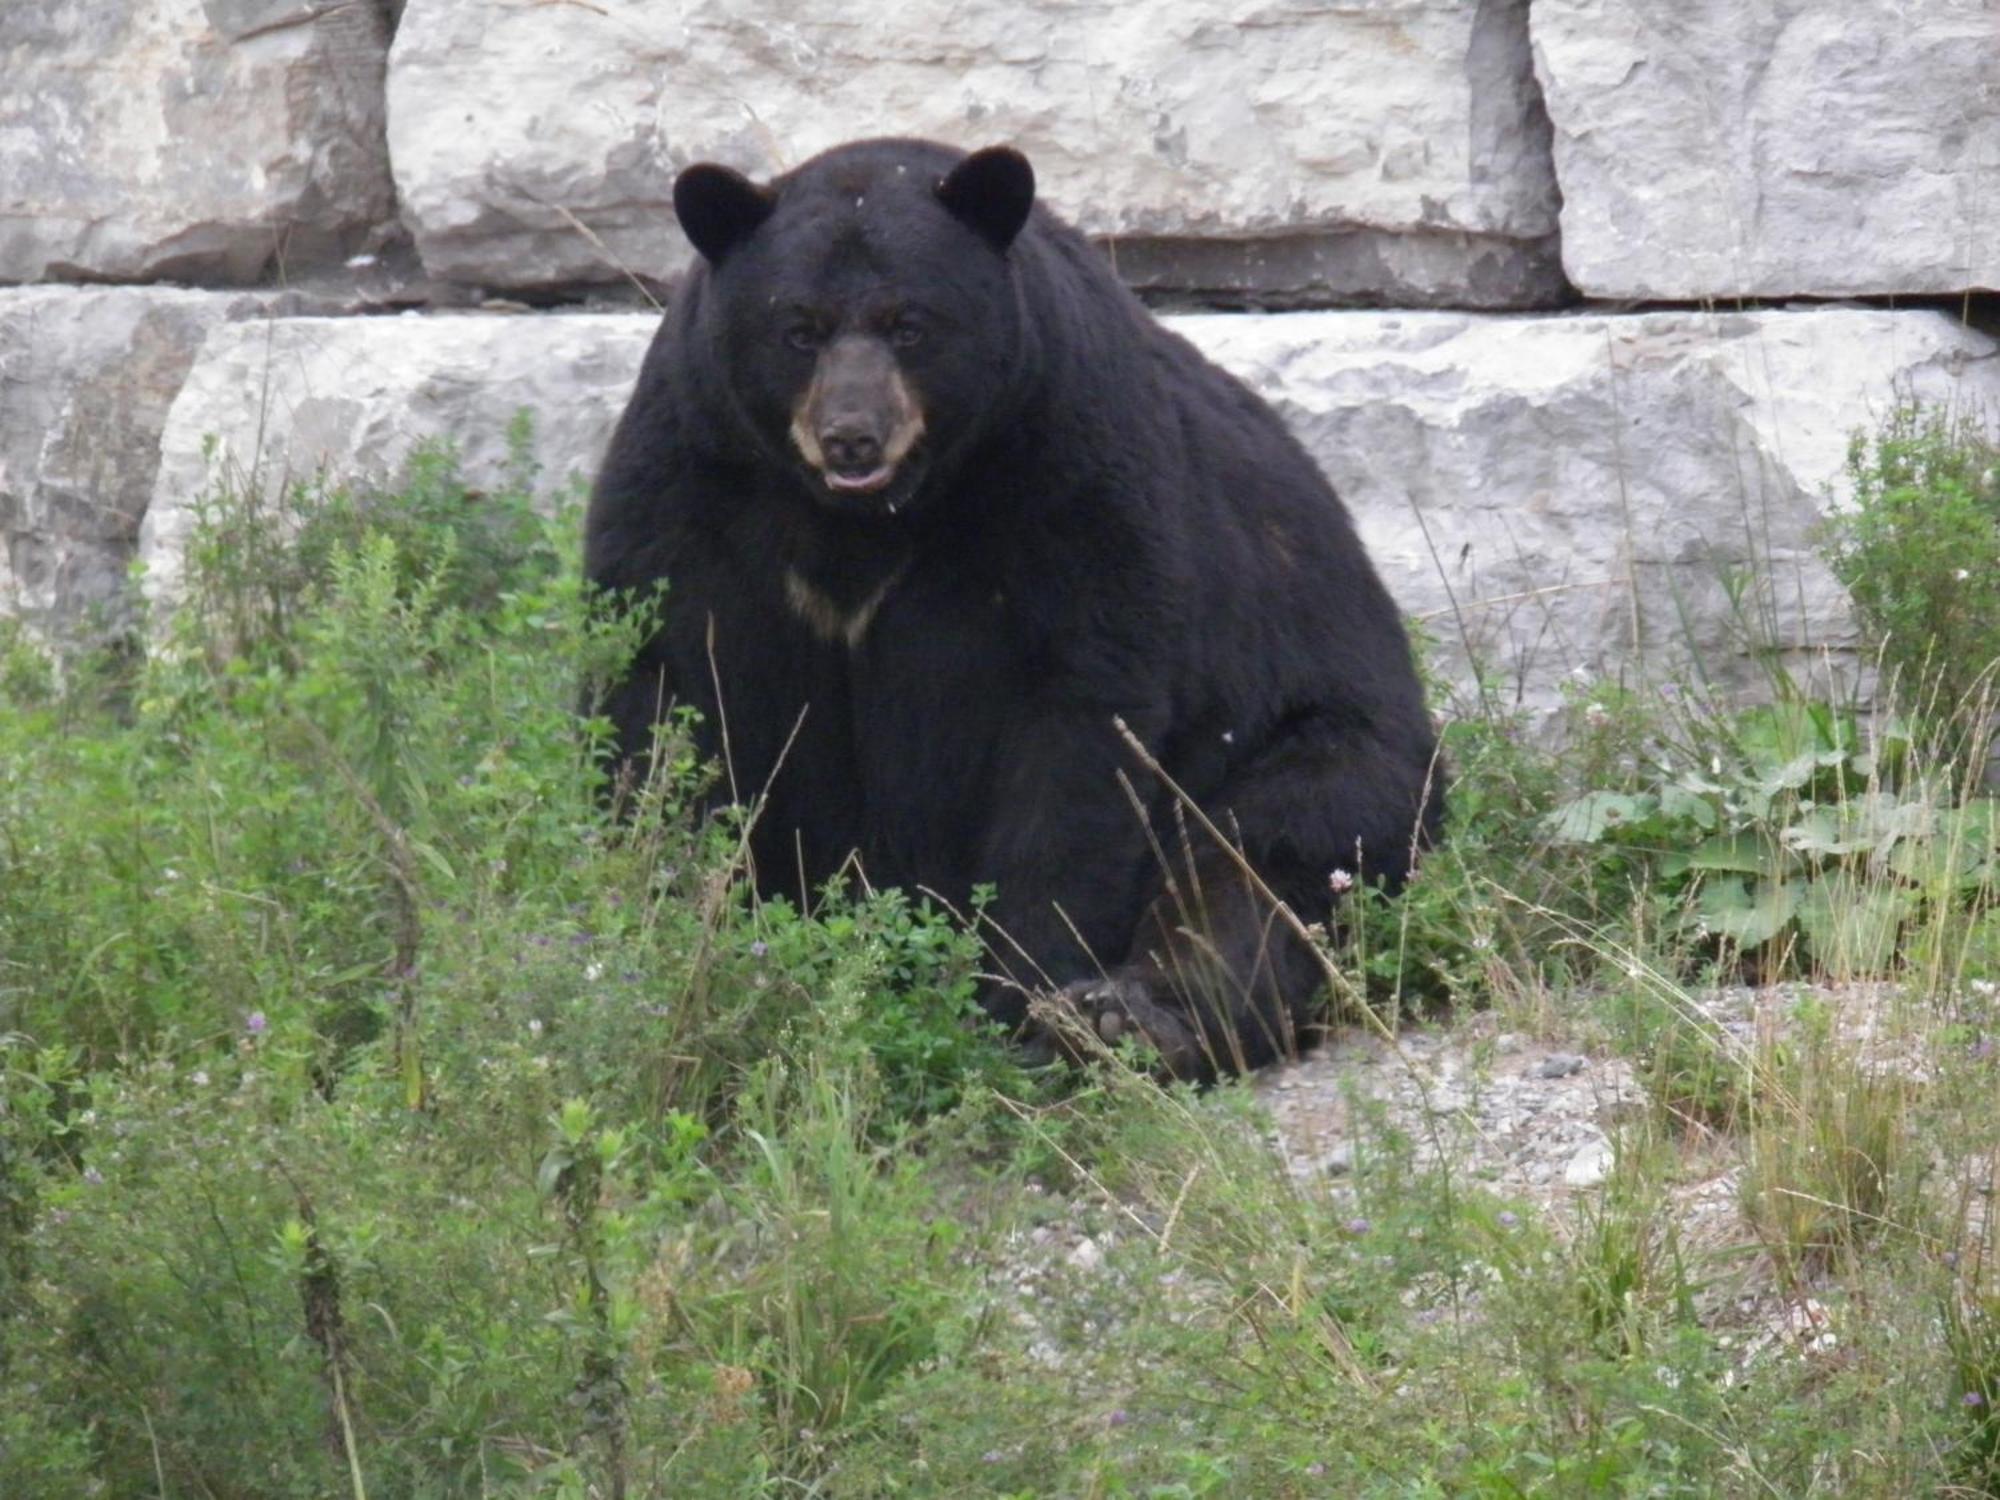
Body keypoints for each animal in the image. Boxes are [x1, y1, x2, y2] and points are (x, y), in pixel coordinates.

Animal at [584, 138, 1448, 1080]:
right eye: (798, 327)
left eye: (911, 323)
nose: (852, 435)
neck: (868, 519)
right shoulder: (693, 471)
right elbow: (661, 692)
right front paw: (669, 926)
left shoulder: (1068, 465)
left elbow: (1079, 730)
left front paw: (1015, 995)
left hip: (1317, 738)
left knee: (1271, 855)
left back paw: (1132, 1018)